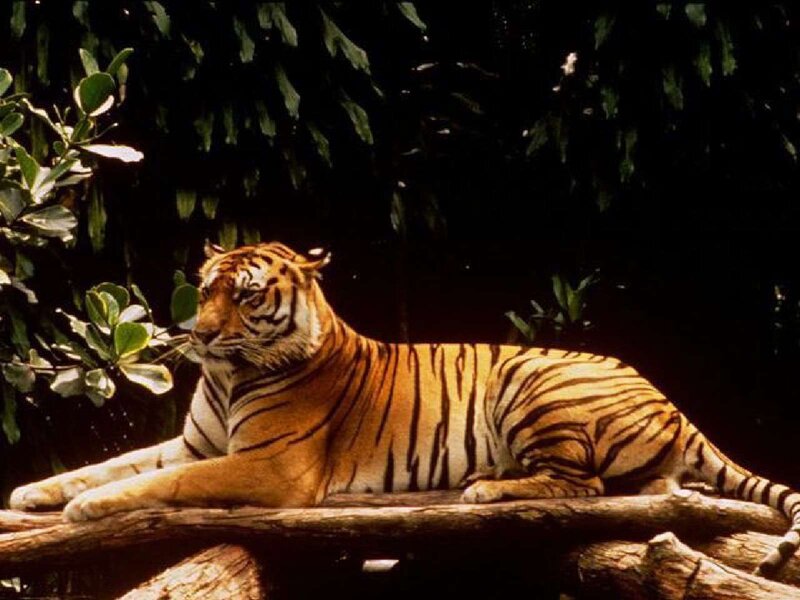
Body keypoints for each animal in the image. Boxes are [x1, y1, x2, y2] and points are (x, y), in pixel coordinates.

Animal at [8, 241, 800, 577]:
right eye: (205, 289)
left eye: (247, 295)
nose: (198, 335)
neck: (230, 376)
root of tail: (672, 401)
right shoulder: (196, 444)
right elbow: (112, 461)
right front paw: (34, 492)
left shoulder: (269, 467)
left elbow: (154, 481)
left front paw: (85, 510)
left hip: (530, 377)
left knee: (587, 484)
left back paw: (486, 489)